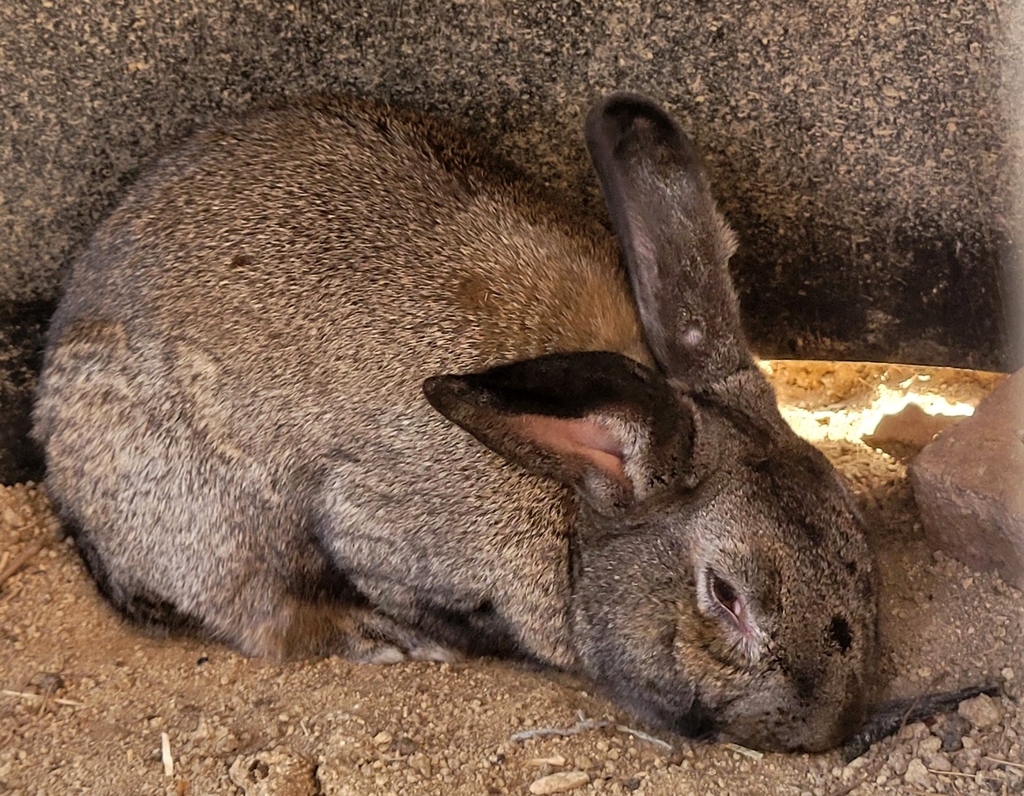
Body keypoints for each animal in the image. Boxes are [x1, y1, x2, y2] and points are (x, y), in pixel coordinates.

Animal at [32, 91, 880, 749]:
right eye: (727, 597)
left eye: (859, 541)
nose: (825, 731)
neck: (575, 514)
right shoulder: (371, 526)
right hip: (204, 512)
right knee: (255, 610)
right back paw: (375, 638)